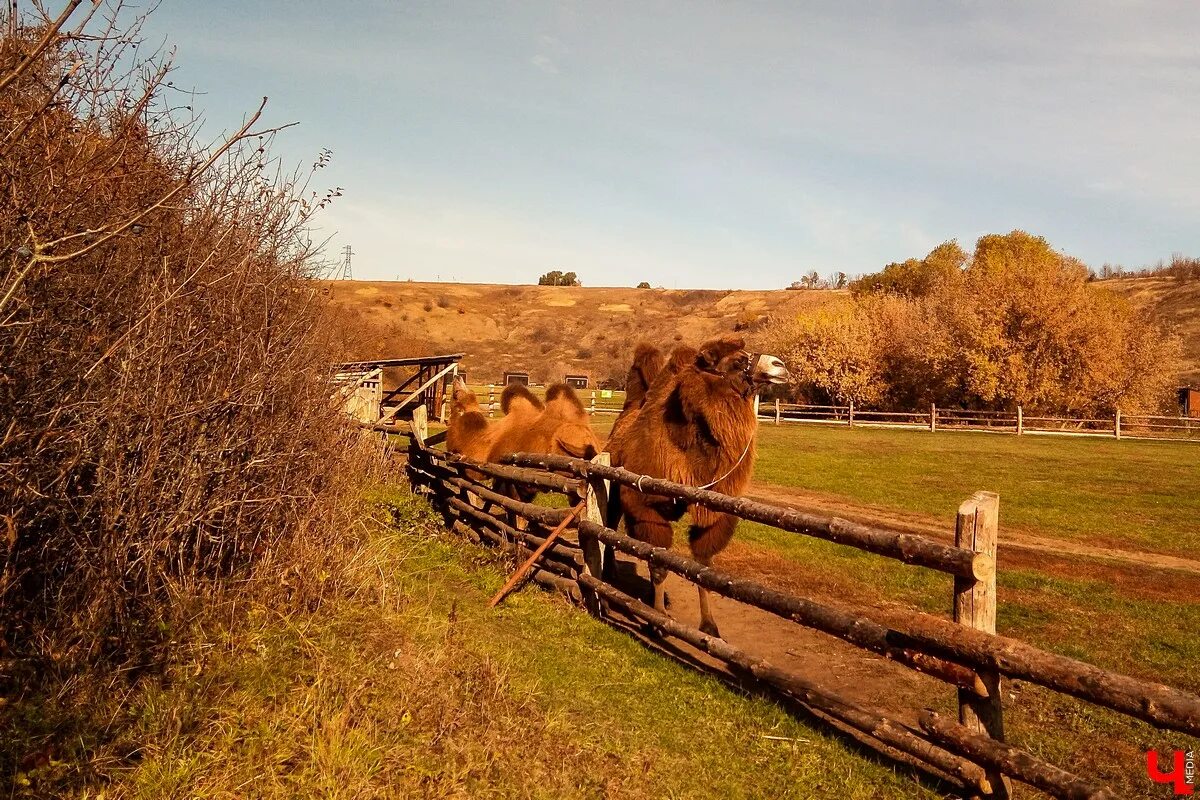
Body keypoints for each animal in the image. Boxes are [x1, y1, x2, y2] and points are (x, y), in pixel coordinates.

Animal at [609, 335, 787, 638]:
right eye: (738, 360)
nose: (779, 365)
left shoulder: (715, 507)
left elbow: (702, 566)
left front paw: (709, 626)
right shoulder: (643, 503)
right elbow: (658, 563)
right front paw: (658, 620)